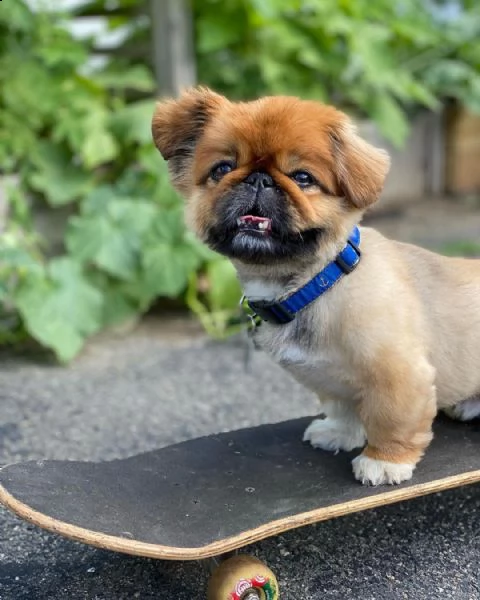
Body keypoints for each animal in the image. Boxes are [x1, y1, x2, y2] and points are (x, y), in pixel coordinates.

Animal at [152, 86, 480, 486]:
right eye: (223, 169)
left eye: (303, 178)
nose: (258, 179)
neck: (311, 285)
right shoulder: (330, 380)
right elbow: (343, 408)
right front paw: (340, 433)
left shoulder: (398, 374)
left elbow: (391, 418)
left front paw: (385, 461)